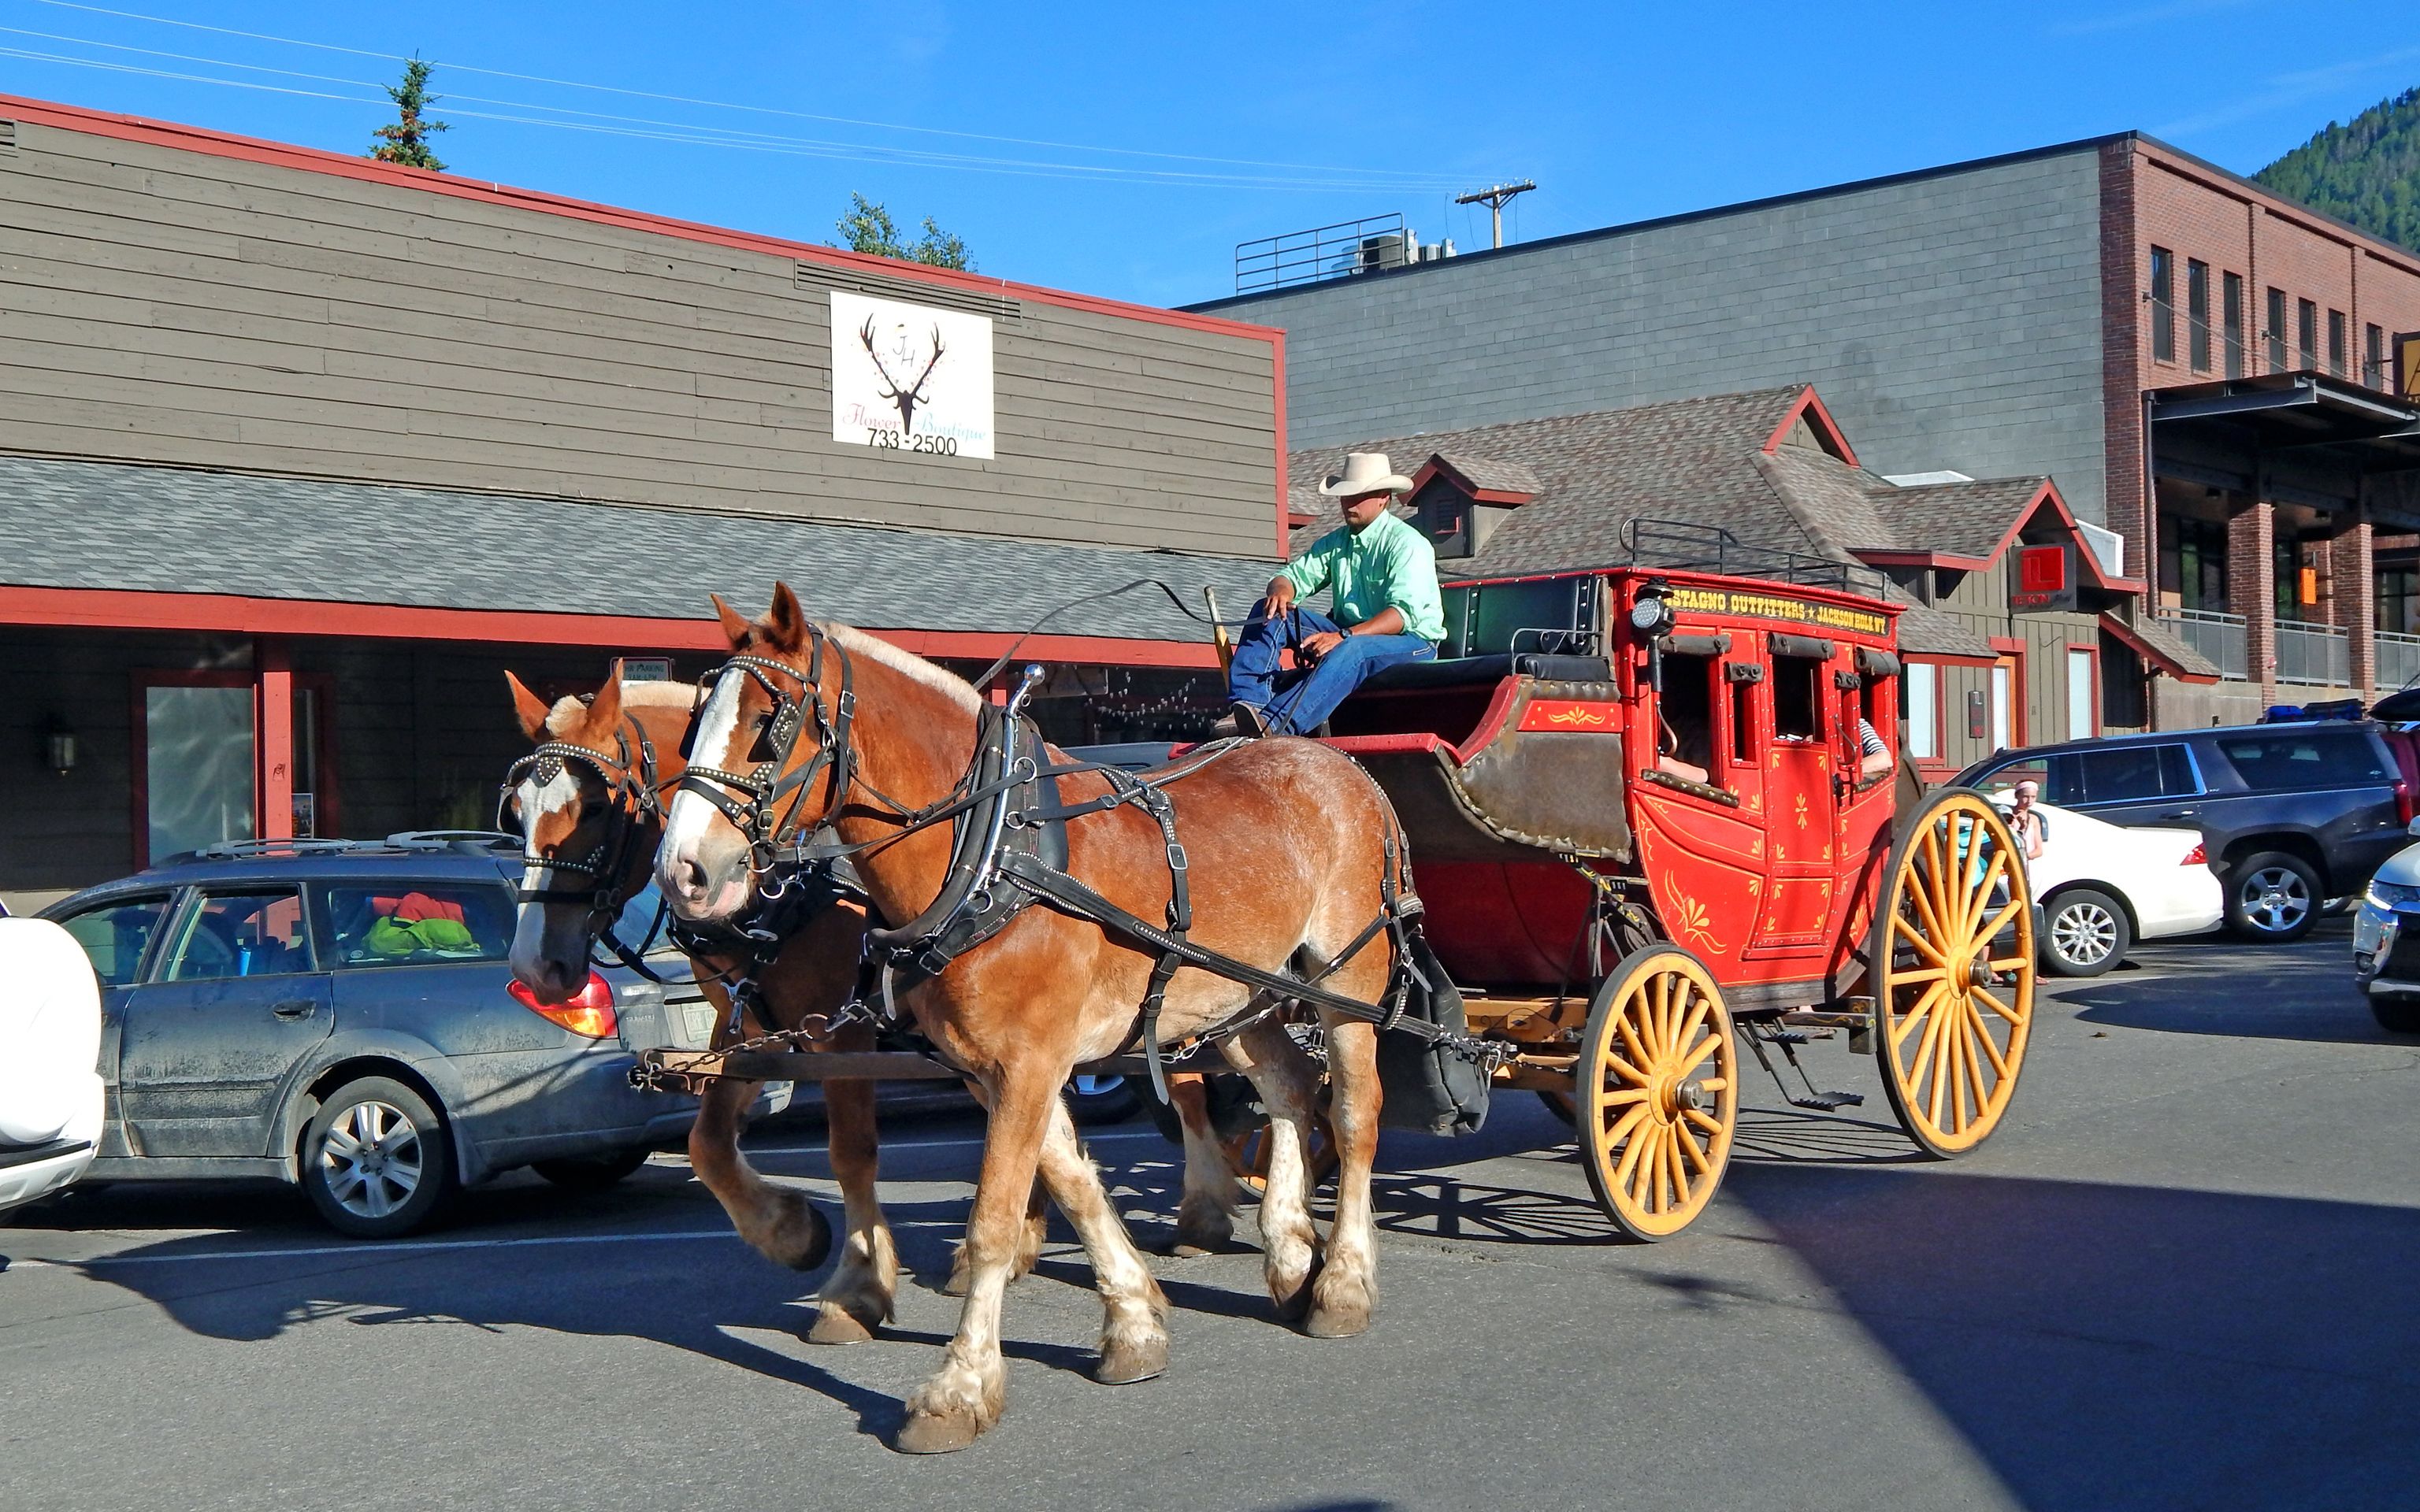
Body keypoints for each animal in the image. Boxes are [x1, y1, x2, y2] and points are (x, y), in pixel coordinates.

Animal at [663, 587, 1413, 1451]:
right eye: (692, 723)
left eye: (768, 722)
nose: (683, 873)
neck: (988, 853)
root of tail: (1346, 767)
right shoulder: (998, 1064)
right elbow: (1074, 1182)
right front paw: (1134, 1324)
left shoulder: (1024, 1060)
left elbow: (993, 1216)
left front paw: (956, 1389)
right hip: (1236, 991)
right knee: (1290, 1086)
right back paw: (1291, 1255)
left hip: (1344, 980)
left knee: (1353, 1114)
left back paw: (1343, 1282)